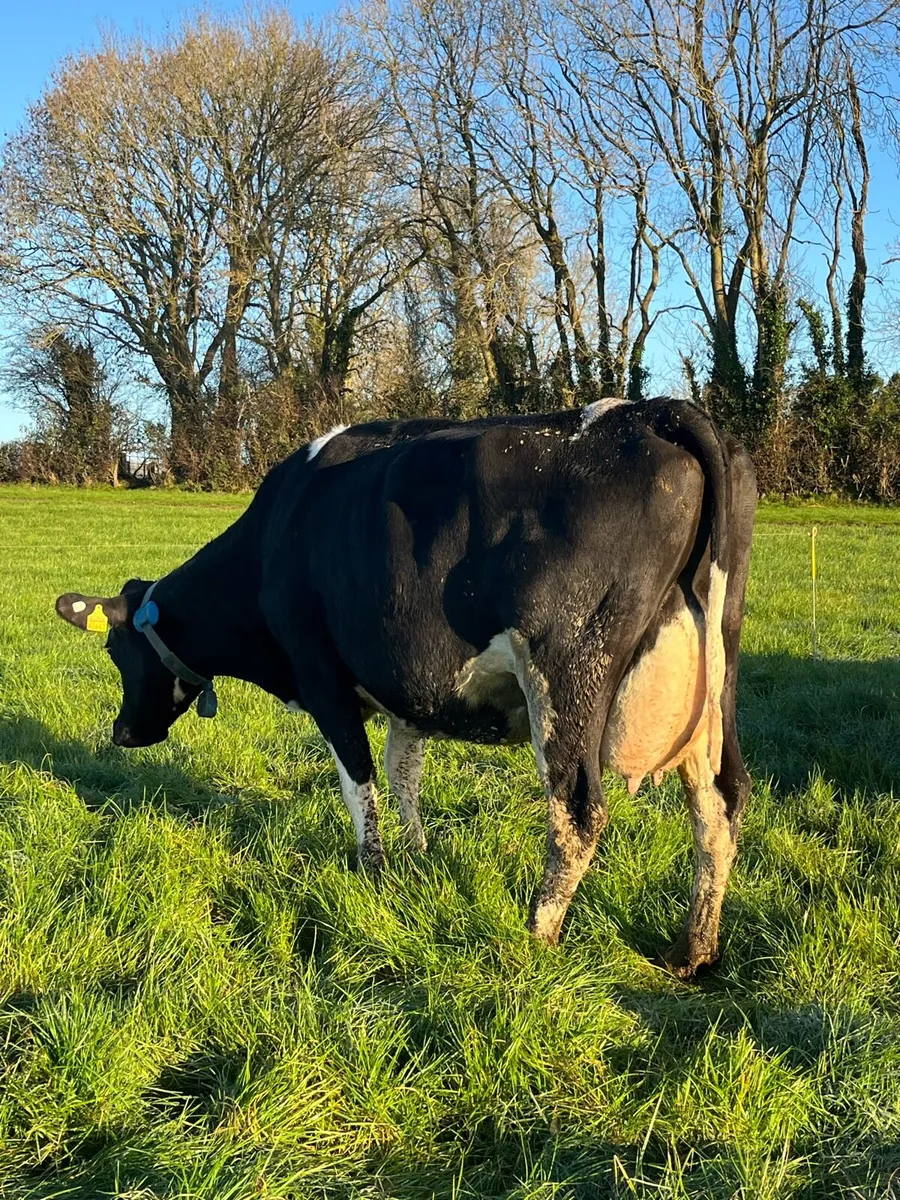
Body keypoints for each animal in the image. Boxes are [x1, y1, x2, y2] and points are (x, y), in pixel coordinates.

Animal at [55, 397, 756, 978]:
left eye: (117, 651)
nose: (122, 732)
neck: (273, 537)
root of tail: (648, 411)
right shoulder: (407, 689)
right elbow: (403, 773)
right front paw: (418, 859)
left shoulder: (323, 679)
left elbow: (358, 779)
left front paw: (373, 868)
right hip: (715, 682)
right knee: (720, 801)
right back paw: (692, 950)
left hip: (566, 674)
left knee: (578, 810)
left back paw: (535, 933)